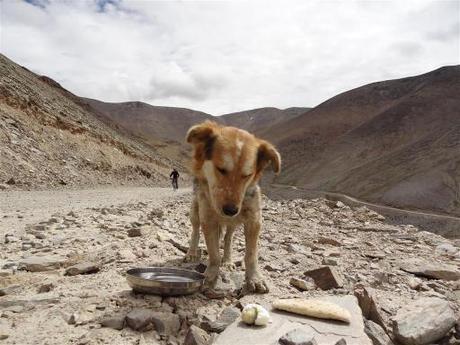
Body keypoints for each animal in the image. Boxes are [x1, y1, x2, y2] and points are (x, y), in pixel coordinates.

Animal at [184, 119, 280, 292]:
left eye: (247, 175)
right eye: (220, 169)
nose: (231, 210)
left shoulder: (254, 220)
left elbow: (251, 254)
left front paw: (254, 278)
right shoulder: (208, 219)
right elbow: (214, 253)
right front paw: (210, 275)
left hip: (233, 224)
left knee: (228, 238)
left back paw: (228, 260)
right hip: (195, 210)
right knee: (195, 230)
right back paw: (192, 252)